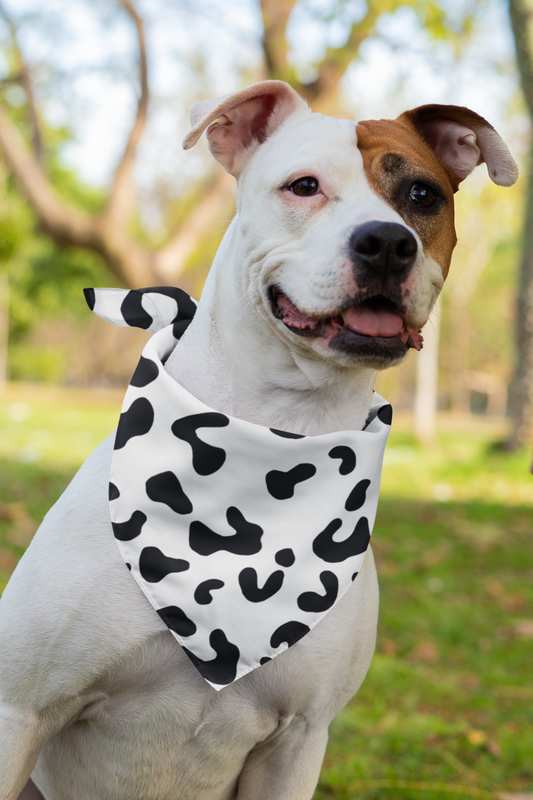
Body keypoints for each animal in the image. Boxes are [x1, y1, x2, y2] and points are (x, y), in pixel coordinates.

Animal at [0, 81, 516, 800]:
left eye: (421, 195)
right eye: (303, 186)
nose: (387, 242)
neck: (277, 430)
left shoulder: (298, 739)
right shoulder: (22, 710)